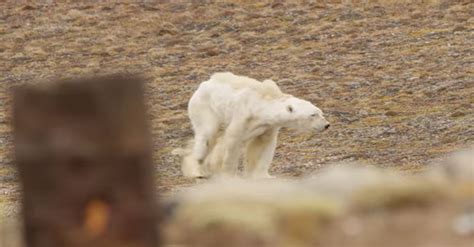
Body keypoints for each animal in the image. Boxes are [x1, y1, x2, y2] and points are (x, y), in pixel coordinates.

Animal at [174, 72, 330, 178]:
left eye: (320, 112)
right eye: (313, 115)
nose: (327, 125)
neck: (261, 105)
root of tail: (201, 86)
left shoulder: (268, 126)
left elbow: (263, 145)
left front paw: (264, 176)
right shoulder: (243, 116)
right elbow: (232, 142)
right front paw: (228, 174)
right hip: (205, 109)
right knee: (207, 135)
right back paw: (200, 169)